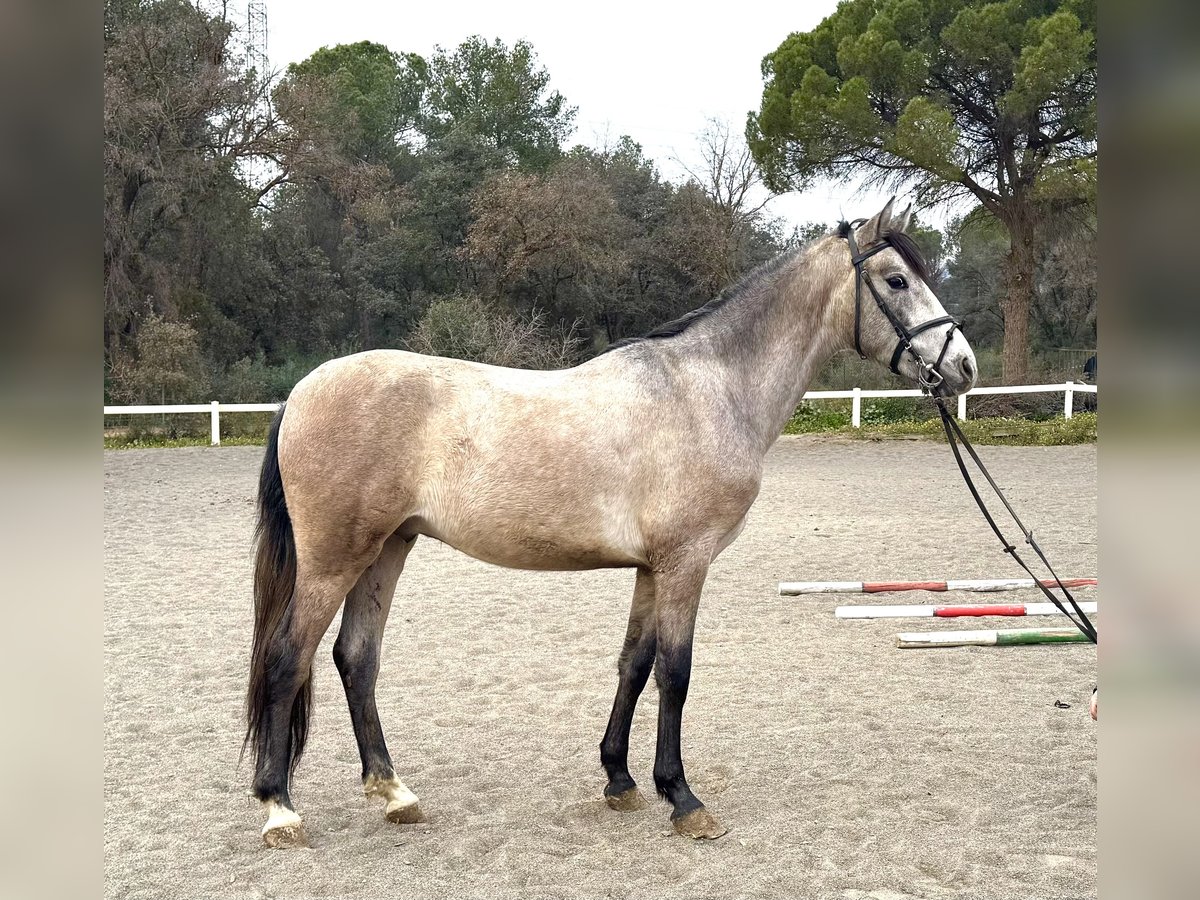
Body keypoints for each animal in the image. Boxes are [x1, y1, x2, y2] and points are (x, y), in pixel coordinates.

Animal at [243, 199, 974, 854]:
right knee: (288, 657)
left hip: (387, 547)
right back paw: (279, 809)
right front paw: (684, 799)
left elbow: (634, 664)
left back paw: (394, 793)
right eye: (897, 280)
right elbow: (676, 672)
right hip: (336, 558)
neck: (706, 391)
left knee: (355, 658)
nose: (963, 366)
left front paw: (620, 779)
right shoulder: (685, 561)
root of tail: (303, 390)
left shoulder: (652, 567)